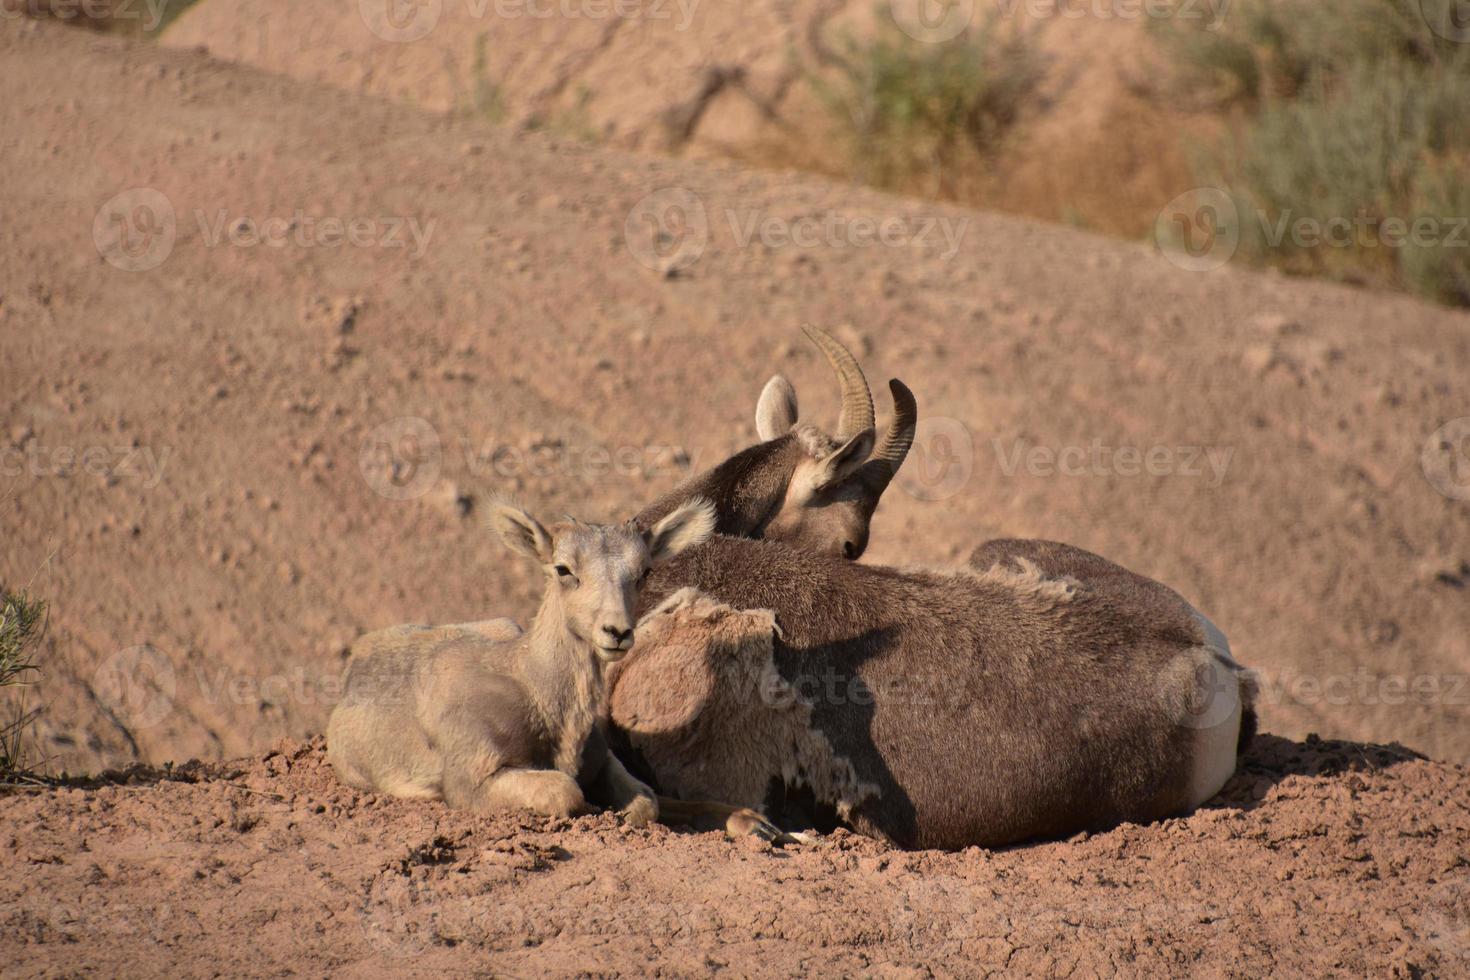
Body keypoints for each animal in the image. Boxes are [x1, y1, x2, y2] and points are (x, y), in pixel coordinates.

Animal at [333, 502, 723, 822]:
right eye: (563, 569)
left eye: (644, 572)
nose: (616, 631)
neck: (535, 693)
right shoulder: (474, 782)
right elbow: (566, 792)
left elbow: (645, 804)